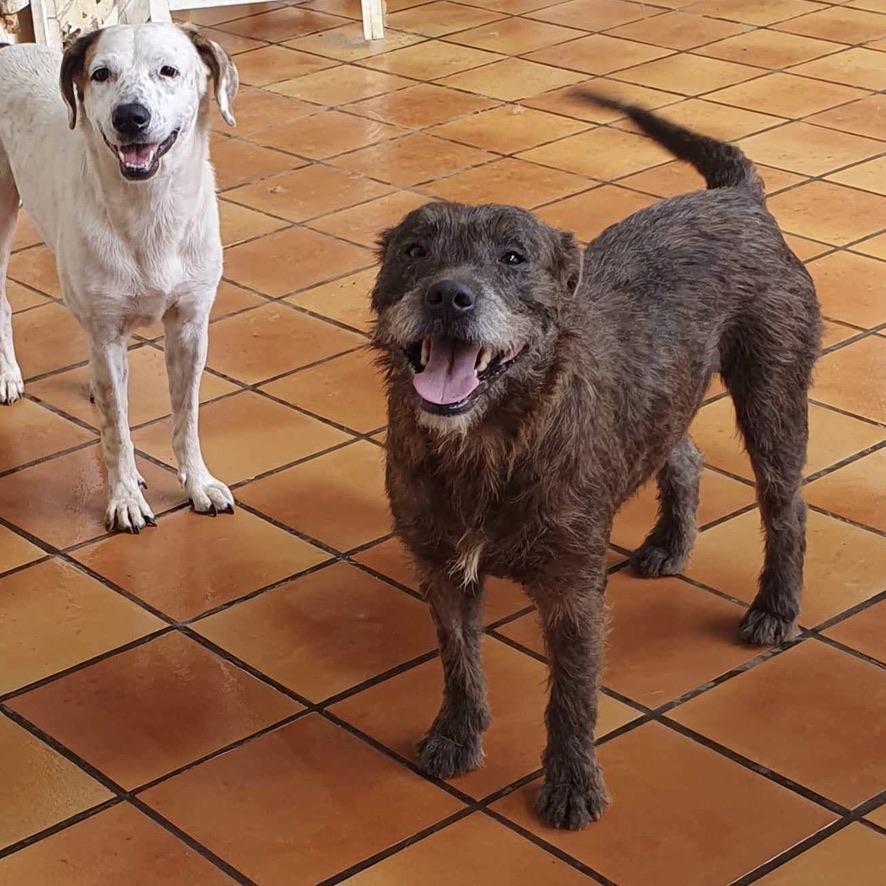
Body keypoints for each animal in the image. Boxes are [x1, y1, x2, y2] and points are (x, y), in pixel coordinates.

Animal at [0, 22, 239, 536]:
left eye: (168, 70)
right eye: (101, 74)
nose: (130, 116)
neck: (149, 211)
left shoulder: (190, 328)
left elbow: (186, 419)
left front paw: (199, 484)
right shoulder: (107, 338)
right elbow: (117, 433)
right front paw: (125, 498)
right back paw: (7, 376)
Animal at [370, 92, 824, 832]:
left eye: (514, 255)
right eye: (414, 250)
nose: (448, 295)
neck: (491, 445)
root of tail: (736, 197)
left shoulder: (572, 591)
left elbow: (571, 695)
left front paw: (572, 782)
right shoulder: (441, 572)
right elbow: (459, 662)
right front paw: (457, 735)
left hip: (773, 391)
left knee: (786, 505)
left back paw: (776, 606)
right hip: (672, 398)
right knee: (683, 452)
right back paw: (670, 541)